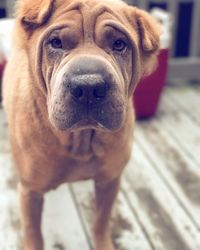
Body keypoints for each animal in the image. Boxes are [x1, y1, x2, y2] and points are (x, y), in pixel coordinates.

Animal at [1, 0, 161, 249]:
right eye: (56, 43)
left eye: (119, 44)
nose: (89, 87)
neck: (81, 140)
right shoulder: (30, 191)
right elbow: (33, 233)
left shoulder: (109, 180)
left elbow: (101, 221)